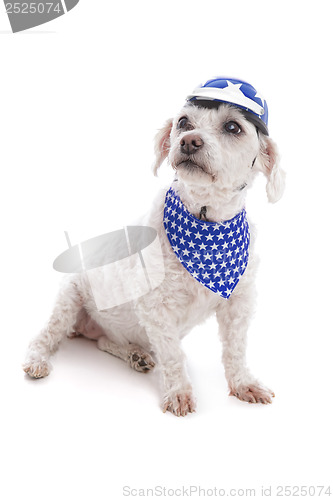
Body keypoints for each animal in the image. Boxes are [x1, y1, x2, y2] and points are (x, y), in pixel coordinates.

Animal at [23, 77, 284, 414]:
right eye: (183, 122)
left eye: (233, 127)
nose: (189, 141)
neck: (205, 219)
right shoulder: (156, 307)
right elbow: (173, 355)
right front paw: (179, 392)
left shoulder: (239, 302)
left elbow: (235, 350)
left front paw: (243, 383)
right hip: (69, 299)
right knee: (46, 336)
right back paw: (38, 360)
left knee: (105, 342)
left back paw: (134, 354)